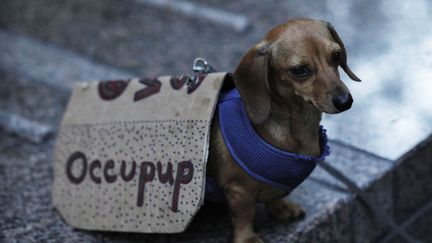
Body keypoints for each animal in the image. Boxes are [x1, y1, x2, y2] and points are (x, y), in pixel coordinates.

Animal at [208, 19, 360, 243]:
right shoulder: (238, 191)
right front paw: (247, 237)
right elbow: (244, 214)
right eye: (299, 70)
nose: (345, 102)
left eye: (336, 55)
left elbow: (276, 193)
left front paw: (280, 207)